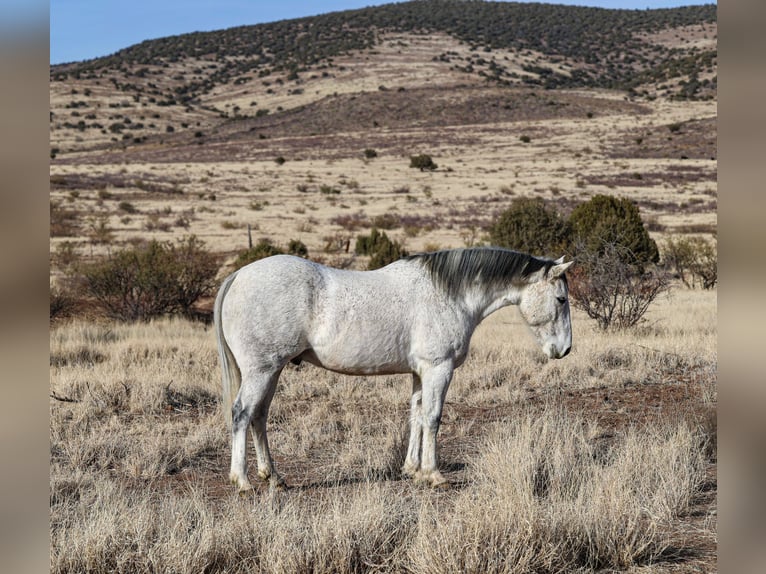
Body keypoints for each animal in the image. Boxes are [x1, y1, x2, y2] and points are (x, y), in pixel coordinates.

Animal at [213, 245, 572, 492]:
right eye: (561, 299)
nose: (564, 350)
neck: (449, 295)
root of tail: (238, 276)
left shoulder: (420, 373)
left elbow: (416, 416)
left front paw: (412, 469)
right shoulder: (438, 369)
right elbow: (433, 418)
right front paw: (434, 474)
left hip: (272, 372)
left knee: (259, 416)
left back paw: (273, 477)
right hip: (261, 371)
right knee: (242, 414)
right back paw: (242, 480)